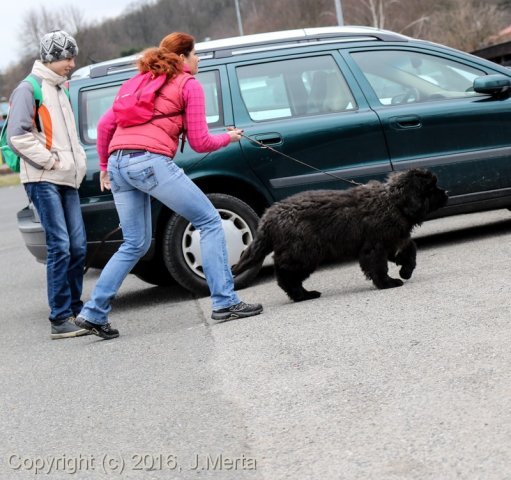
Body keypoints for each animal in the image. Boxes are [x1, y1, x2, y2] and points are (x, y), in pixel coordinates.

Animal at [232, 171, 448, 302]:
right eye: (431, 188)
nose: (446, 192)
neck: (394, 202)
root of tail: (268, 217)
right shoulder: (375, 246)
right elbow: (379, 267)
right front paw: (388, 283)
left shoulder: (393, 239)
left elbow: (410, 250)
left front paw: (406, 271)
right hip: (303, 253)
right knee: (286, 275)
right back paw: (303, 295)